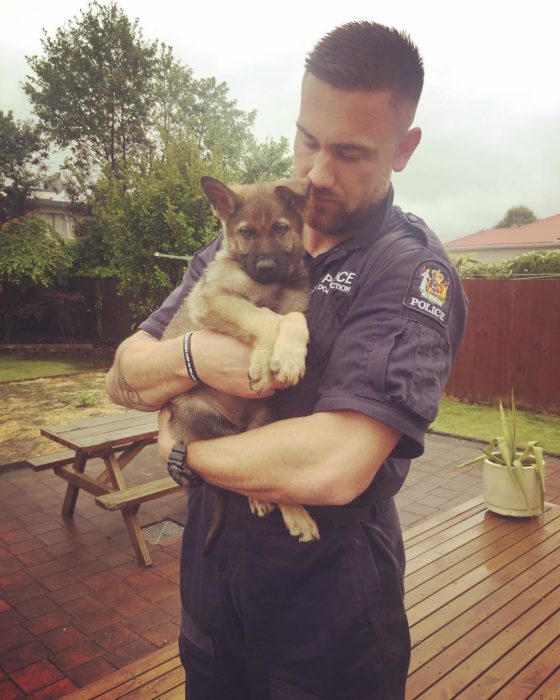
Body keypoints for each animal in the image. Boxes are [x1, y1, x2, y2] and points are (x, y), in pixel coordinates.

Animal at [162, 178, 320, 548]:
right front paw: (263, 364)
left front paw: (288, 357)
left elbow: (292, 319)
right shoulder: (214, 299)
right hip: (200, 414)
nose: (265, 268)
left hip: (264, 417)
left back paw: (294, 514)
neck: (273, 284)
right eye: (246, 232)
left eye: (280, 229)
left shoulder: (294, 307)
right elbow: (261, 317)